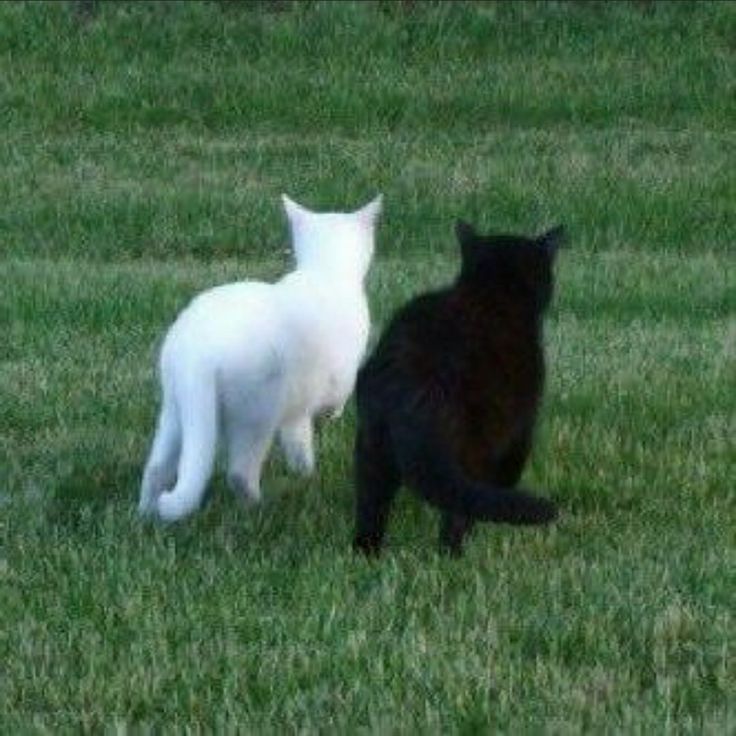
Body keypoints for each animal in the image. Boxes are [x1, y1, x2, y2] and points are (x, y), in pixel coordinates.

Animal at [138, 193, 382, 520]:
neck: (323, 272)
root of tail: (197, 353)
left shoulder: (297, 406)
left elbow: (298, 442)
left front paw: (304, 473)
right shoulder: (338, 379)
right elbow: (332, 406)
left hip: (175, 412)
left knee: (156, 468)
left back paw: (146, 514)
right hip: (255, 416)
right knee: (240, 473)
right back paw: (258, 507)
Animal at [352, 221, 564, 556]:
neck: (491, 293)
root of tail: (412, 384)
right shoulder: (520, 430)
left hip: (371, 444)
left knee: (370, 504)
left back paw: (366, 552)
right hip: (474, 445)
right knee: (459, 508)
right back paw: (454, 555)